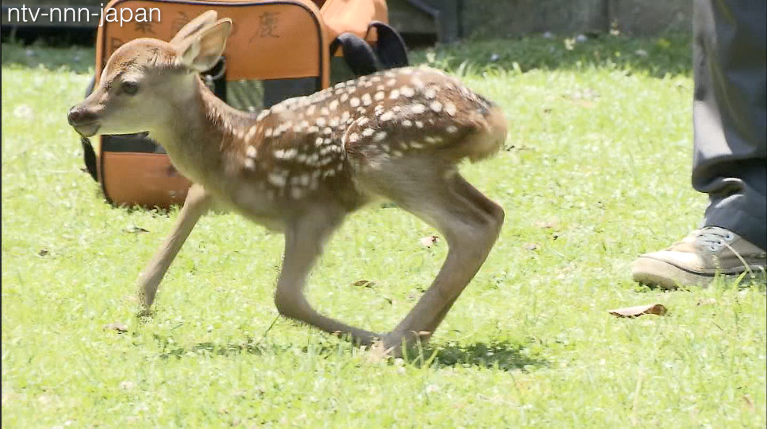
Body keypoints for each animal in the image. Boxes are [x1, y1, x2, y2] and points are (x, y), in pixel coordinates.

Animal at [67, 11, 507, 357]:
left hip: (379, 158)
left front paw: (366, 336)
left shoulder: (314, 209)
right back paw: (417, 335)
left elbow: (286, 298)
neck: (232, 150)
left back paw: (391, 344)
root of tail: (489, 117)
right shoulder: (212, 191)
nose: (77, 113)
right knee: (493, 213)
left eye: (129, 85)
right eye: (103, 73)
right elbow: (188, 206)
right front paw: (142, 302)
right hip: (433, 169)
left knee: (472, 228)